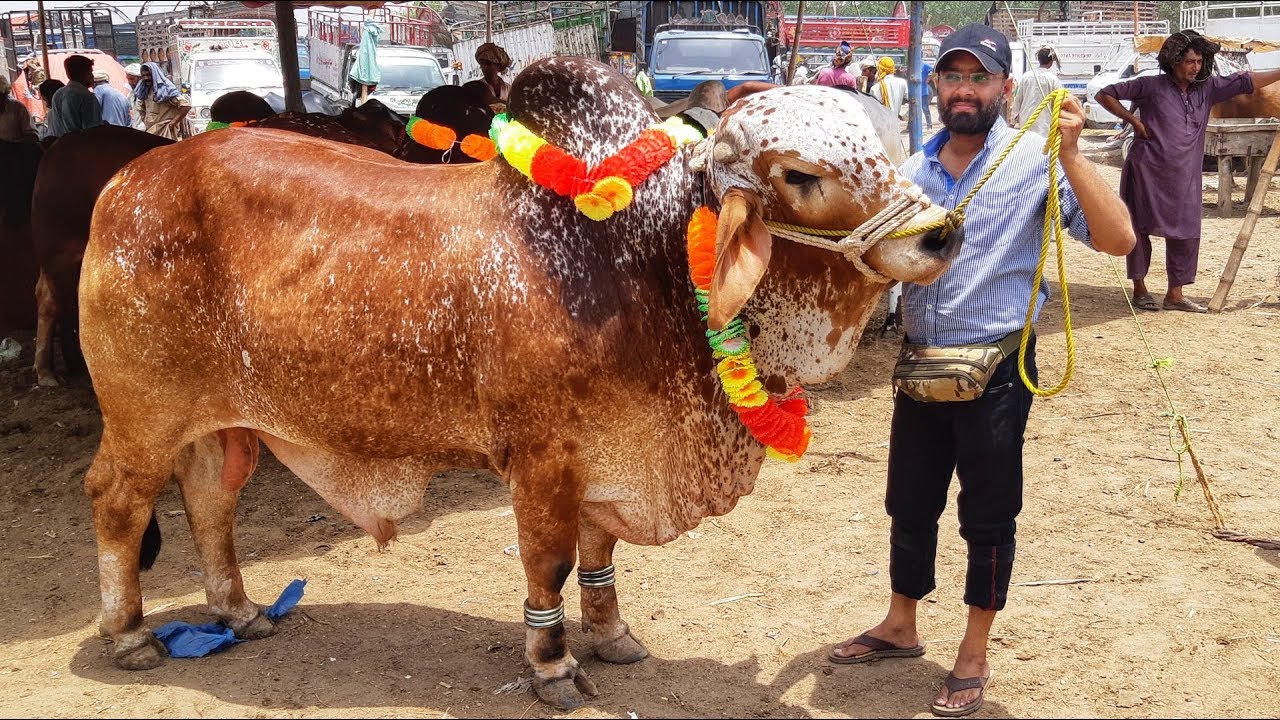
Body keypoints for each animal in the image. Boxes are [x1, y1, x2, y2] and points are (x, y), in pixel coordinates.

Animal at [79, 57, 961, 710]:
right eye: (802, 174)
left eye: (887, 145)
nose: (941, 235)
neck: (644, 261)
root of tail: (129, 180)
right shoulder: (542, 460)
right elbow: (550, 563)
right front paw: (552, 665)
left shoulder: (611, 452)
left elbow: (600, 555)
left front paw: (610, 636)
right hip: (141, 417)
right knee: (118, 502)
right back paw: (130, 635)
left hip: (225, 425)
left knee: (209, 501)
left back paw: (239, 610)